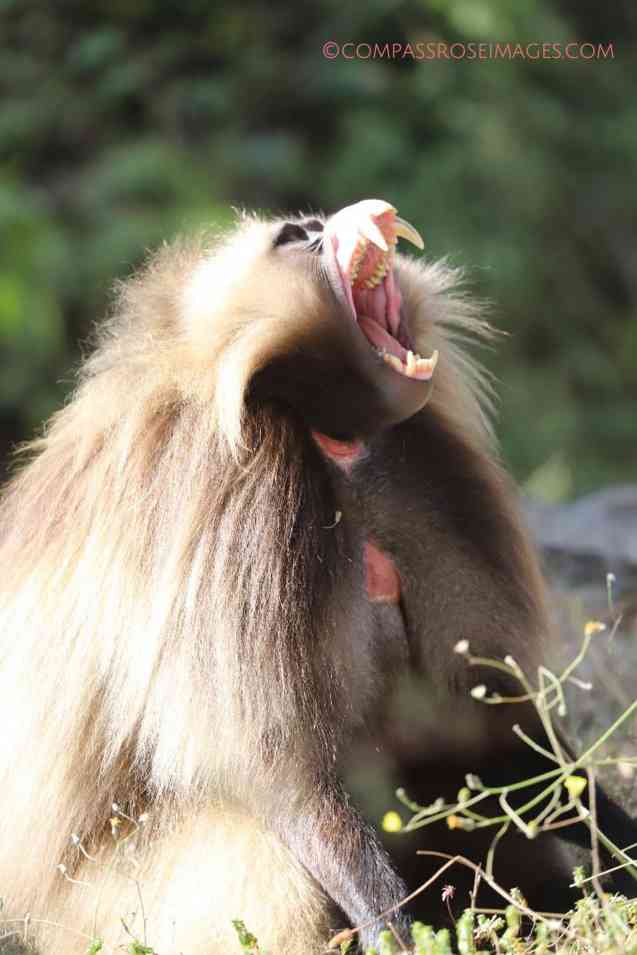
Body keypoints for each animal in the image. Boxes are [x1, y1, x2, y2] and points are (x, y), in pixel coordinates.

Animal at [0, 199, 635, 955]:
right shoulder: (235, 511)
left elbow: (490, 730)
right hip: (95, 909)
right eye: (294, 236)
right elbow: (280, 771)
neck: (324, 437)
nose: (368, 211)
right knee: (270, 861)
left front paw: (622, 856)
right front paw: (397, 931)